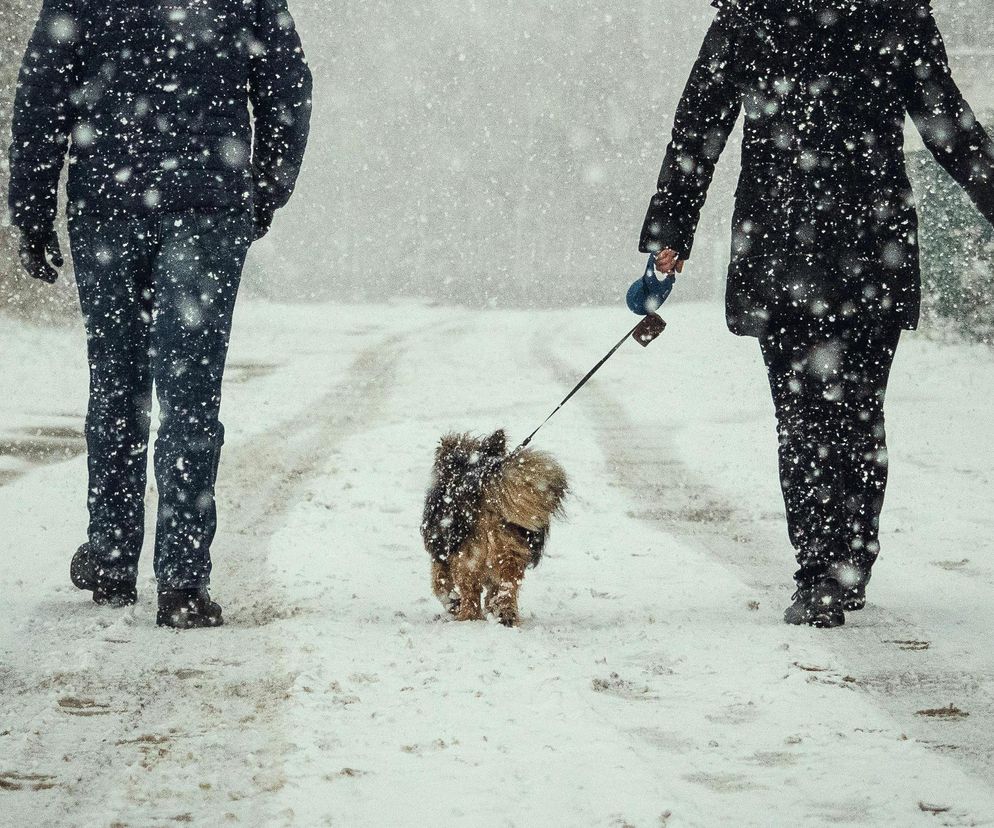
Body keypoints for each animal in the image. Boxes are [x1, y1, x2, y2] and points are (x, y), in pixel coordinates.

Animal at [422, 430, 568, 624]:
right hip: (509, 550)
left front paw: (453, 603)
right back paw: (506, 615)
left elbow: (440, 584)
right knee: (507, 584)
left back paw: (468, 617)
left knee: (470, 594)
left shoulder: (440, 554)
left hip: (467, 556)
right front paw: (491, 607)